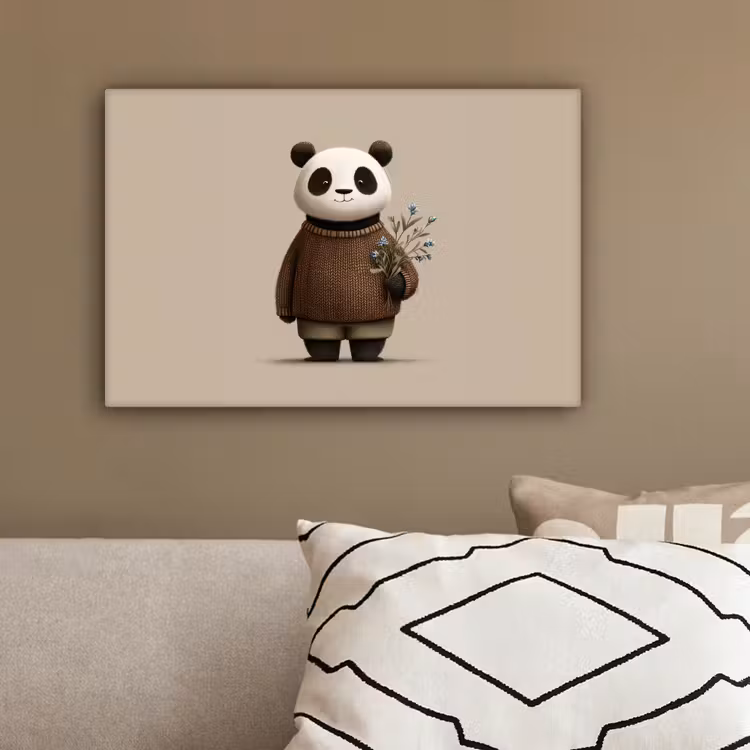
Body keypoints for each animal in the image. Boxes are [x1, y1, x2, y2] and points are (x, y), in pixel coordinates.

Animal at [275, 141, 419, 362]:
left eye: (362, 180)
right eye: (323, 181)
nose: (344, 191)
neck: (343, 226)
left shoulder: (385, 240)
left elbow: (408, 270)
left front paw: (394, 281)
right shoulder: (301, 239)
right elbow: (287, 273)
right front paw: (285, 315)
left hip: (374, 321)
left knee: (372, 333)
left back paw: (368, 356)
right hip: (317, 320)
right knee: (318, 334)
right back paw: (322, 357)